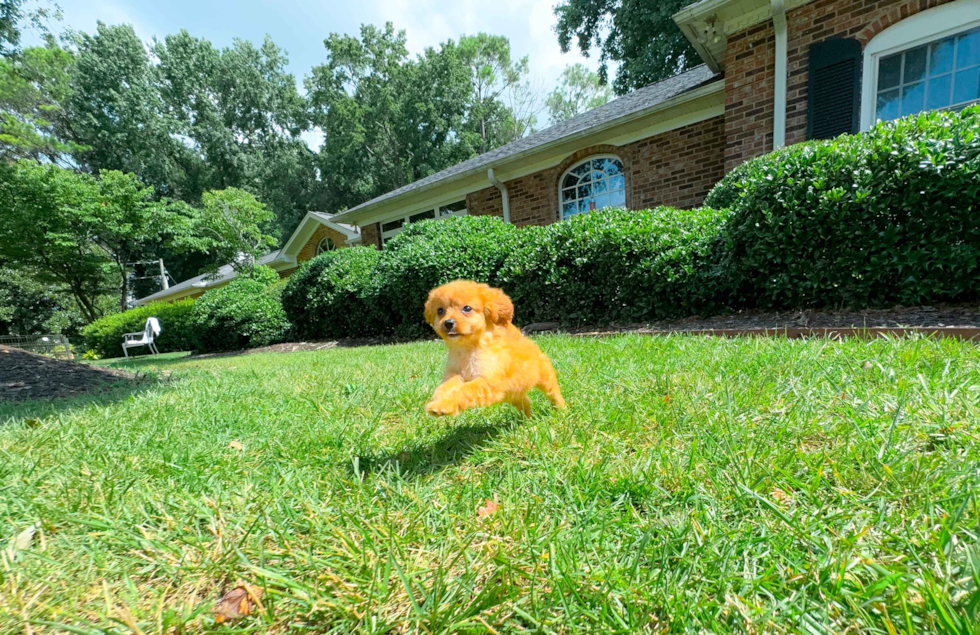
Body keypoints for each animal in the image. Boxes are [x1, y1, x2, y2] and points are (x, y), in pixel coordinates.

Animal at [424, 282, 568, 418]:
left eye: (467, 308)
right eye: (440, 311)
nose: (448, 323)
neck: (467, 350)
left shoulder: (487, 381)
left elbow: (465, 390)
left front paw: (444, 405)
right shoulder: (454, 373)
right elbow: (445, 386)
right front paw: (439, 400)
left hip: (545, 377)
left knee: (553, 392)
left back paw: (561, 409)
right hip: (512, 394)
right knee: (524, 402)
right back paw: (526, 419)